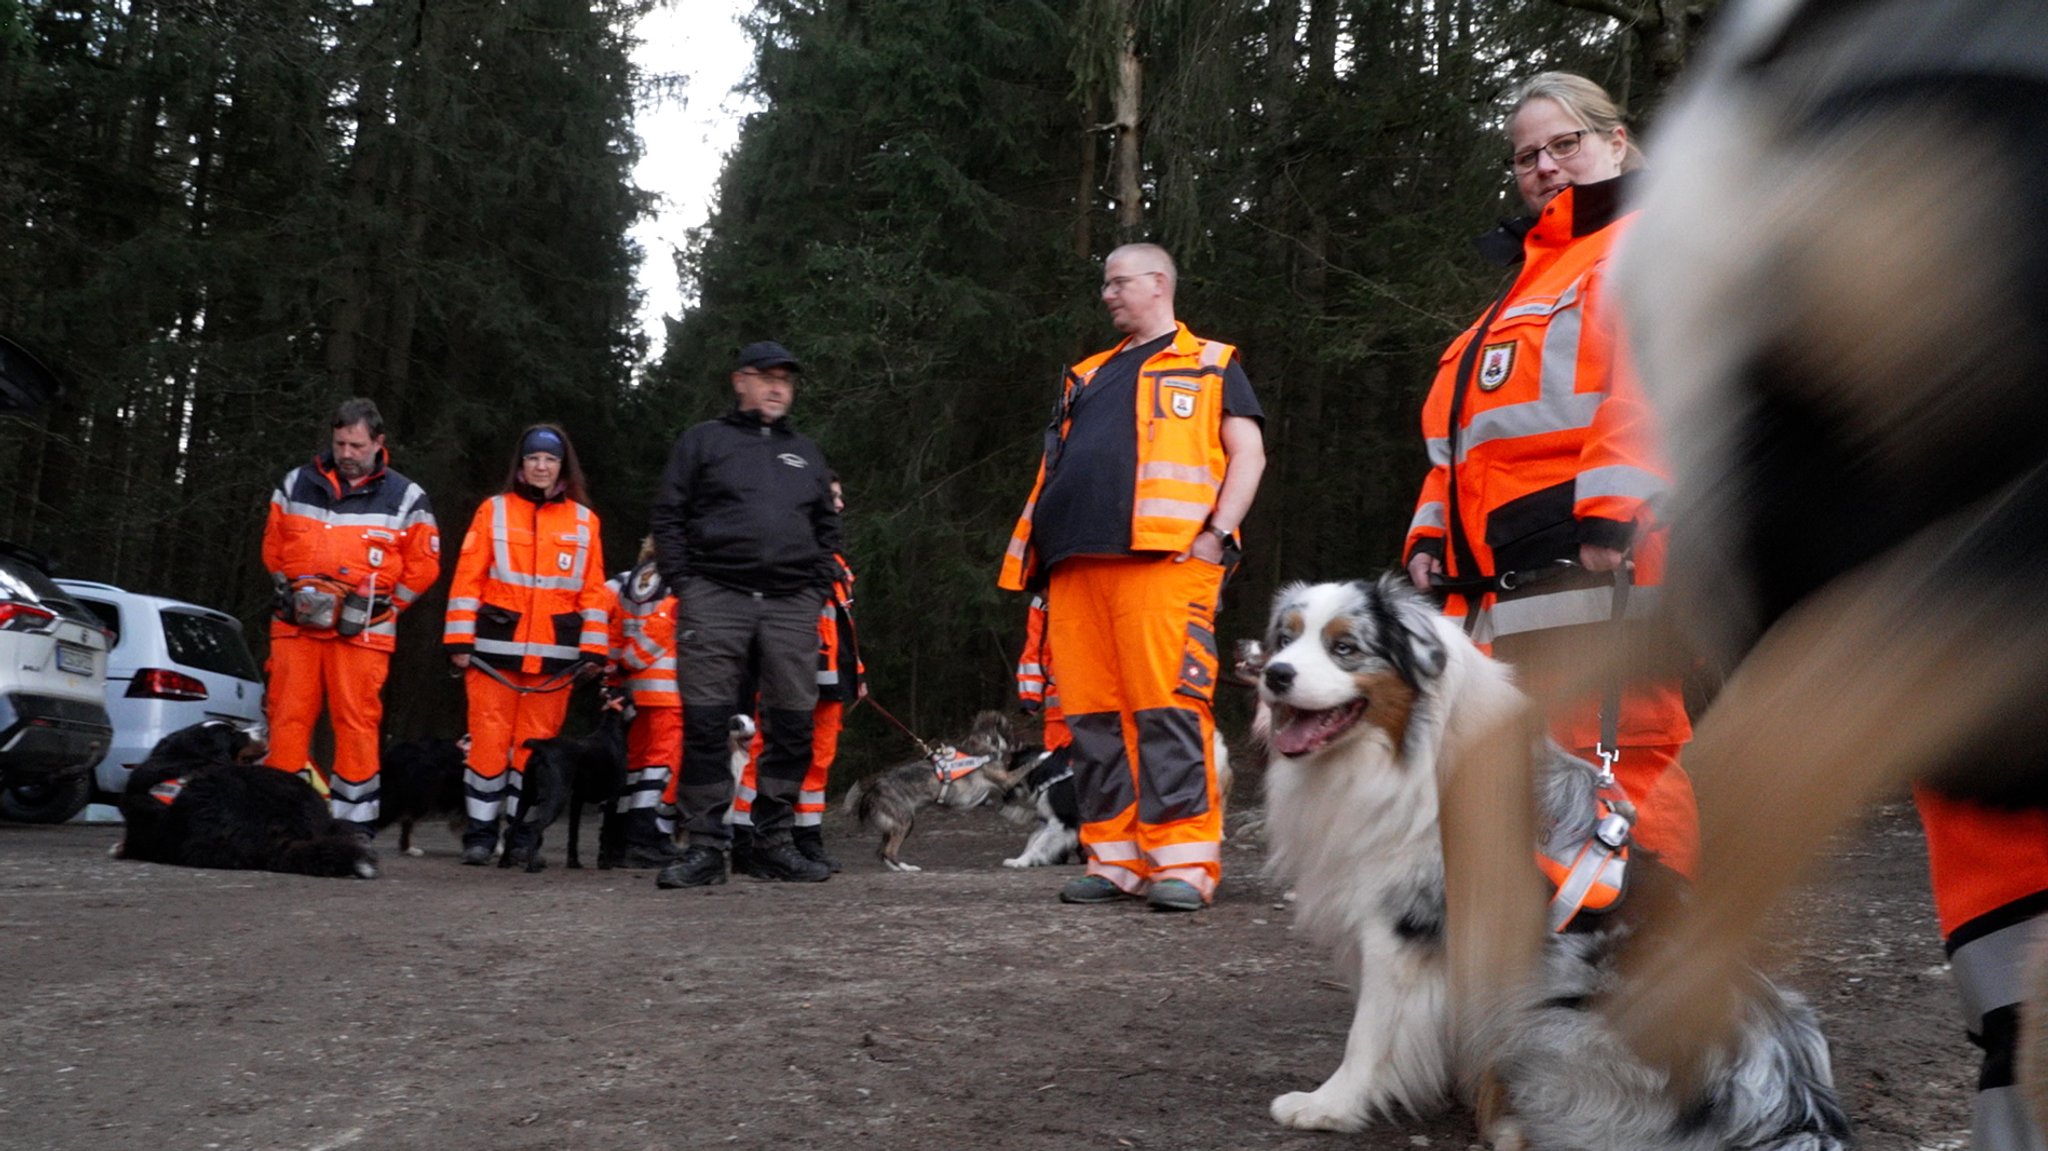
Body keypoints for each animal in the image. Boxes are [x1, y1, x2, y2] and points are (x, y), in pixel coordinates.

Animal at [509, 700, 622, 868]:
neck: (610, 730)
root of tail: (542, 747)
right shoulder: (612, 800)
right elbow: (608, 835)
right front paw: (605, 864)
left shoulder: (577, 800)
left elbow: (573, 834)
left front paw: (574, 862)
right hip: (556, 800)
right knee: (535, 828)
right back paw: (532, 866)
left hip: (526, 798)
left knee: (514, 828)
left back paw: (504, 862)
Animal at [1253, 577, 1851, 1138]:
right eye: (1285, 639)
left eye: (1345, 647)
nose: (1274, 675)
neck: (1404, 753)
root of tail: (1794, 1102)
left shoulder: (1401, 930)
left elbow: (1369, 1032)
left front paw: (1328, 1106)